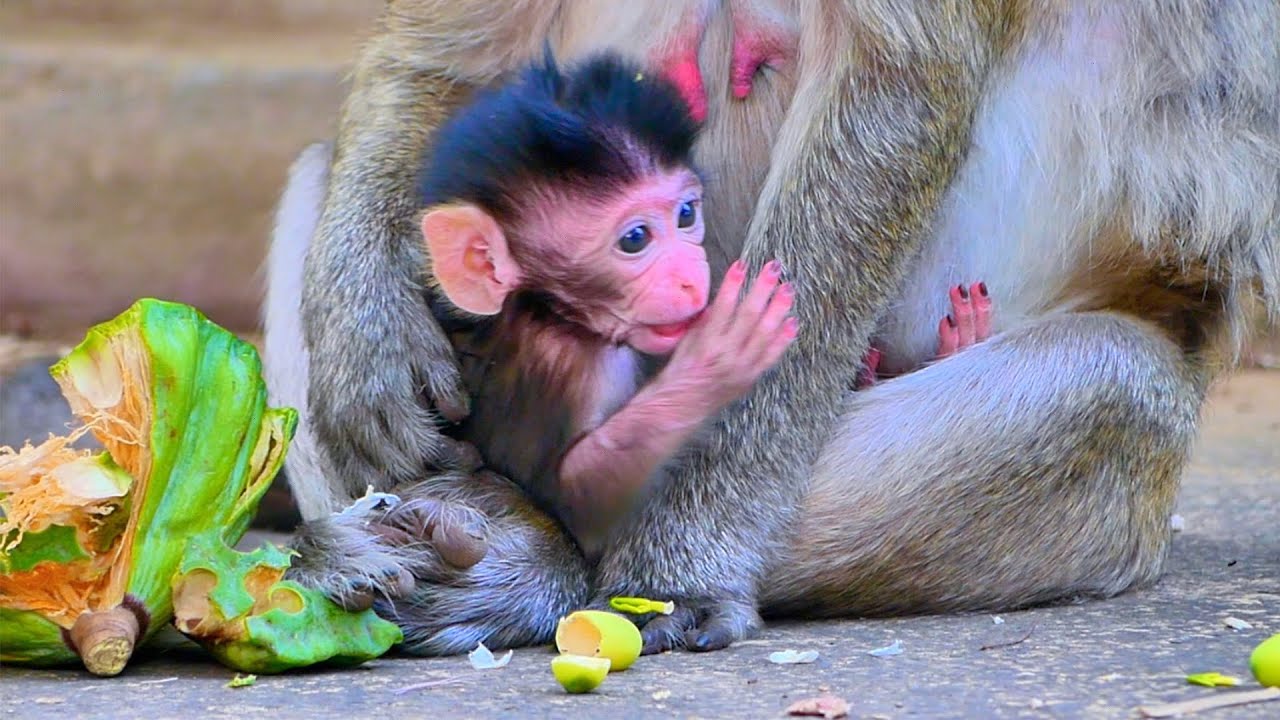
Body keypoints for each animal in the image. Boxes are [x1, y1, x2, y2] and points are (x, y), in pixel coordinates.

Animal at [414, 51, 797, 559]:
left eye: (686, 215)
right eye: (635, 239)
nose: (692, 280)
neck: (549, 312)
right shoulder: (572, 365)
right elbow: (579, 507)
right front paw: (713, 363)